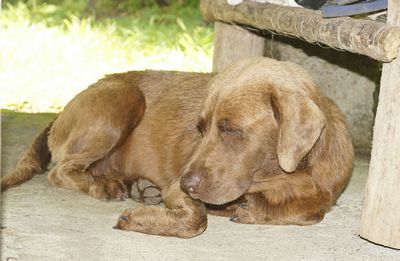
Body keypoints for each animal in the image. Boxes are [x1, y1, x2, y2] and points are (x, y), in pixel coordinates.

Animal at [0, 57, 354, 238]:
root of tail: (61, 111)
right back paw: (107, 187)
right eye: (201, 128)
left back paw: (138, 187)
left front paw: (254, 210)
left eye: (231, 129)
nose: (188, 182)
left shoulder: (322, 193)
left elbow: (312, 211)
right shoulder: (177, 189)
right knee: (60, 170)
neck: (285, 178)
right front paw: (140, 219)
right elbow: (197, 220)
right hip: (123, 100)